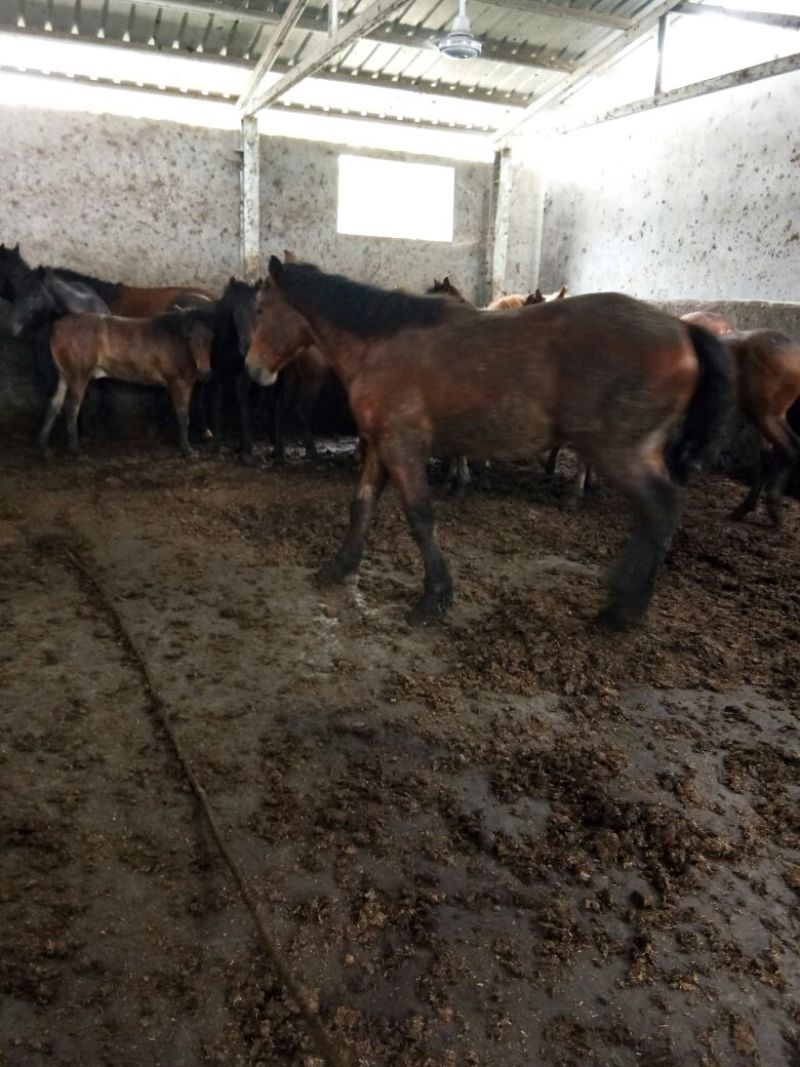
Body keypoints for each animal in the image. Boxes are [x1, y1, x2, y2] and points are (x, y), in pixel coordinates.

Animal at [40, 309, 213, 458]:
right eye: (190, 338)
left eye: (211, 338)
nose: (205, 373)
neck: (176, 341)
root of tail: (57, 326)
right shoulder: (180, 383)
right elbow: (183, 416)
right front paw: (187, 449)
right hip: (78, 377)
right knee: (71, 408)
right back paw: (74, 449)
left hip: (65, 377)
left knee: (54, 405)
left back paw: (44, 447)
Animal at [246, 258, 734, 630]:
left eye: (260, 309)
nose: (253, 369)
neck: (380, 345)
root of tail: (681, 330)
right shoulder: (382, 444)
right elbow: (361, 504)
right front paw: (340, 566)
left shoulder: (403, 446)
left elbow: (420, 517)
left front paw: (435, 597)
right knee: (655, 515)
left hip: (620, 453)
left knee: (660, 510)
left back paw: (622, 609)